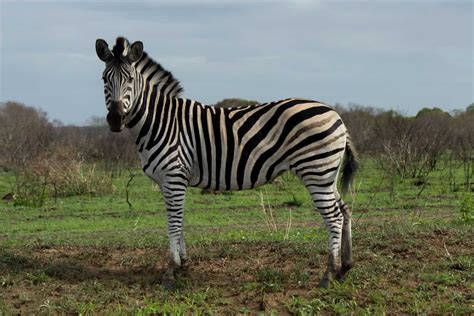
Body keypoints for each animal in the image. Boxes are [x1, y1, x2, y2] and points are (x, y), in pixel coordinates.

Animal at [96, 37, 360, 288]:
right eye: (104, 79)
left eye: (130, 79)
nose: (115, 119)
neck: (161, 121)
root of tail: (336, 115)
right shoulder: (170, 181)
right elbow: (179, 220)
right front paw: (183, 264)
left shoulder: (173, 176)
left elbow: (173, 223)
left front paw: (171, 271)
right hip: (326, 174)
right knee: (344, 210)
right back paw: (344, 267)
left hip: (316, 171)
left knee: (333, 218)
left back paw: (328, 274)